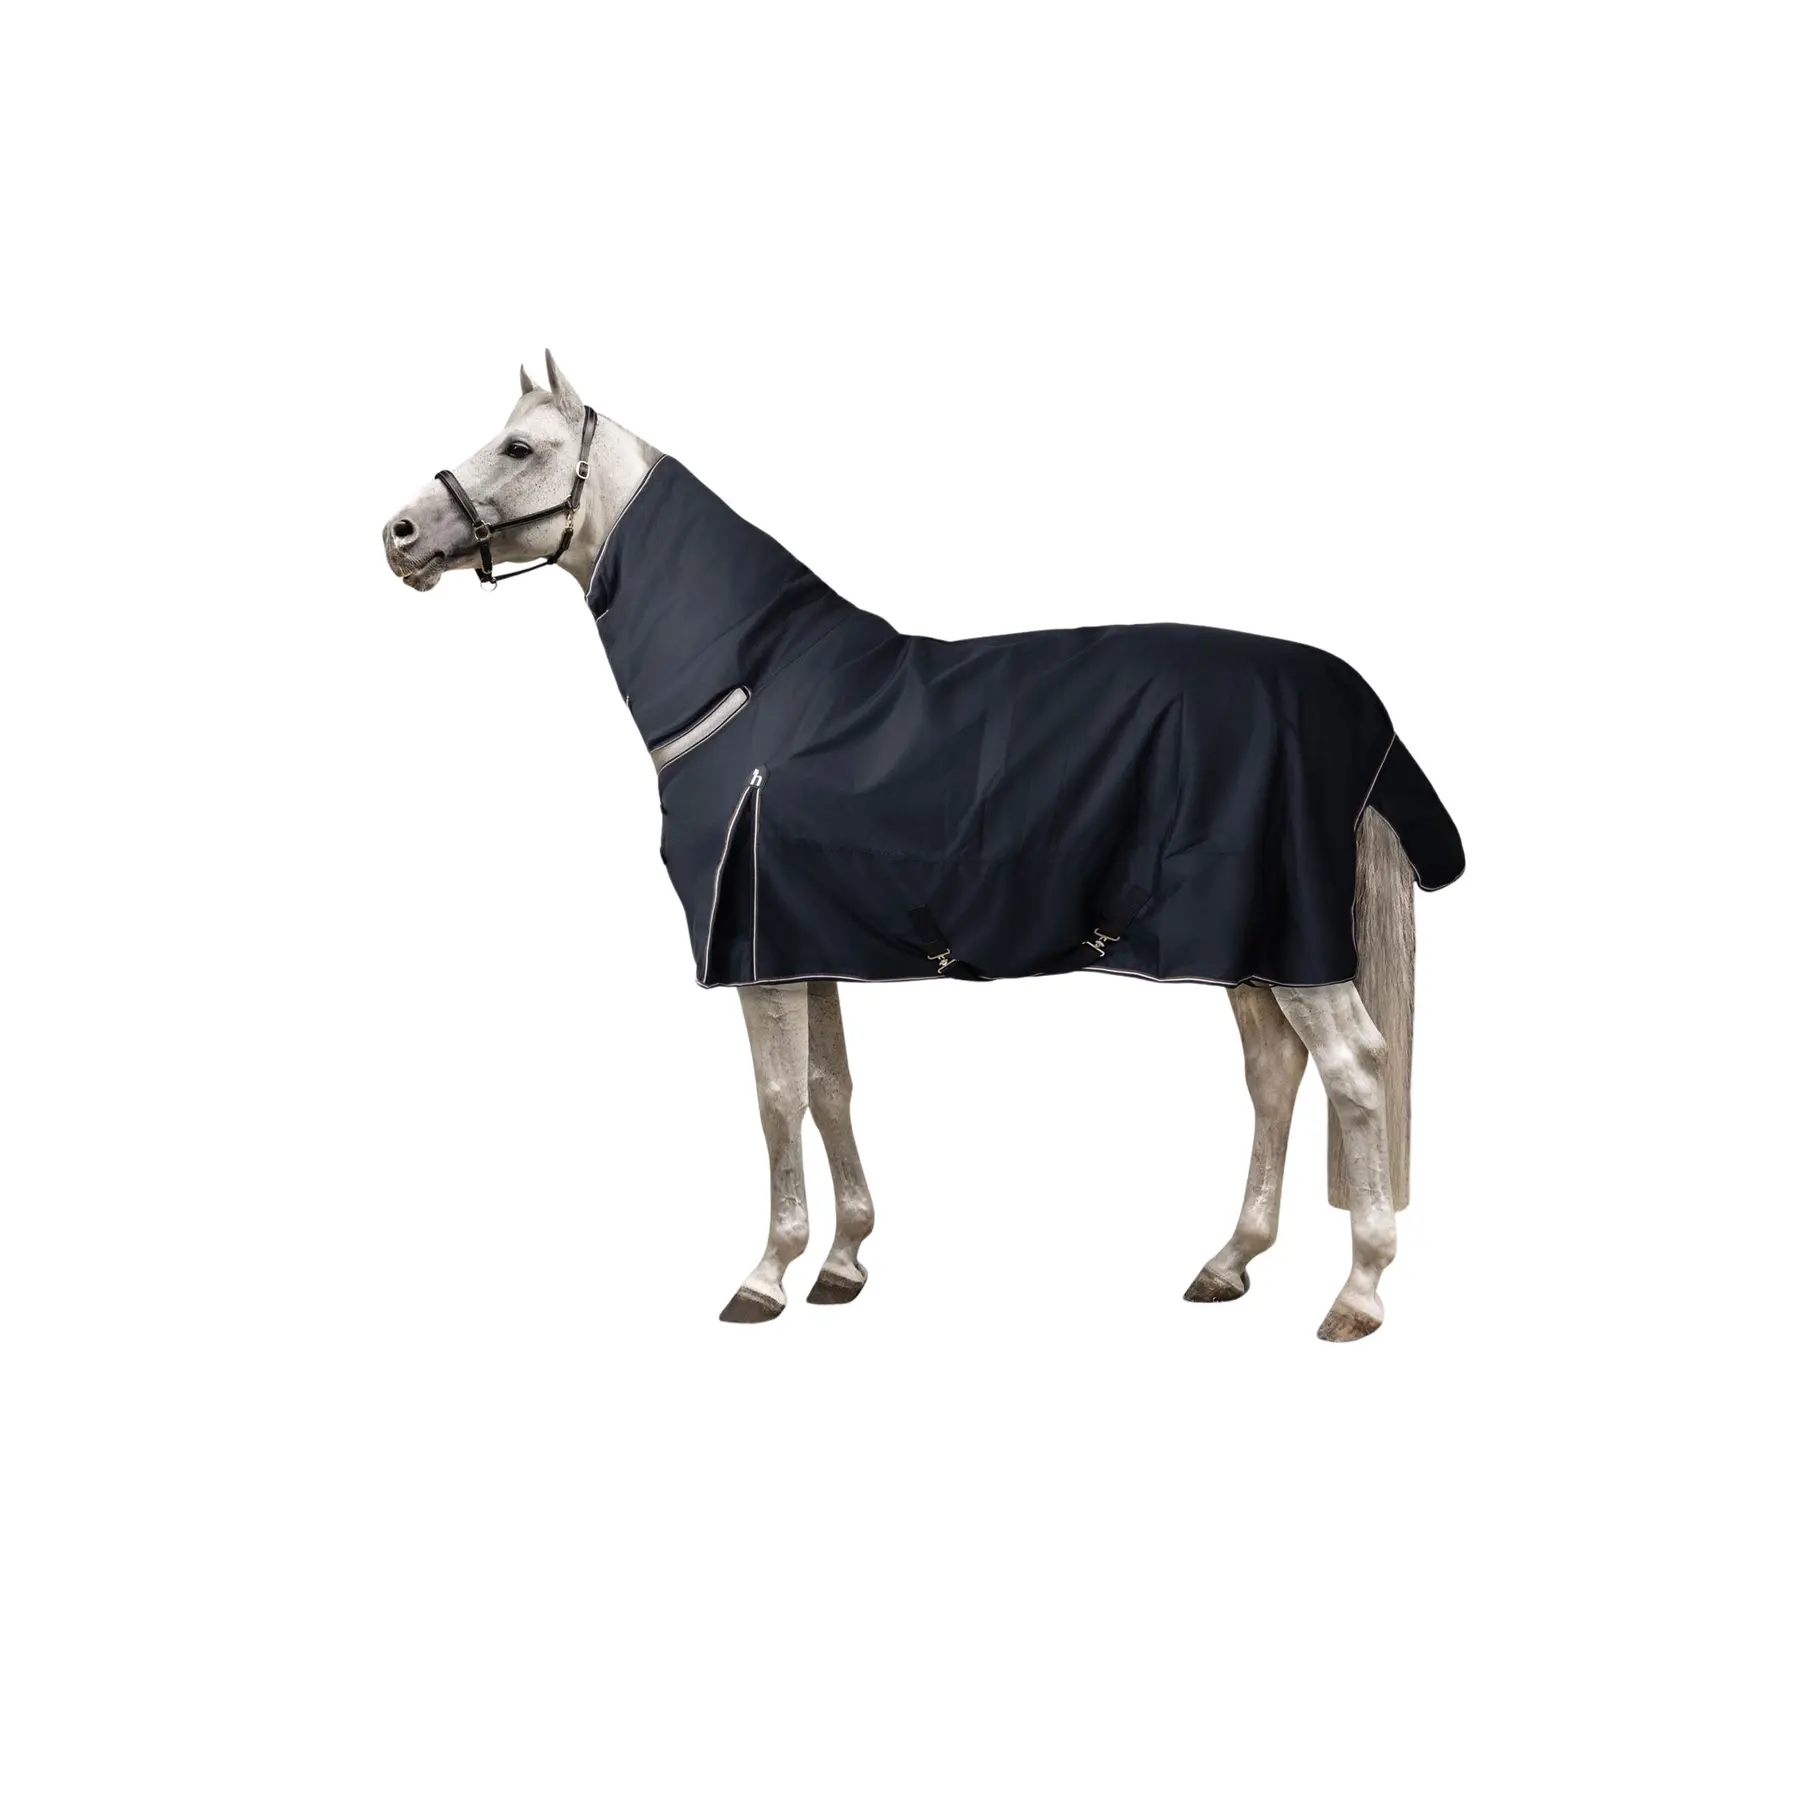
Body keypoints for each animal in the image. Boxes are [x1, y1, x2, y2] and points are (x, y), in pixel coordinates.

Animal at [381, 353, 1463, 1342]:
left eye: (520, 449)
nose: (399, 535)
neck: (754, 687)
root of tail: (1354, 706)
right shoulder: (801, 940)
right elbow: (829, 1088)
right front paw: (844, 1262)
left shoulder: (753, 952)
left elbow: (776, 1098)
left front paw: (766, 1276)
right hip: (1244, 943)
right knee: (1274, 1073)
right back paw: (1229, 1261)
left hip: (1288, 945)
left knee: (1355, 1070)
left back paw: (1358, 1295)